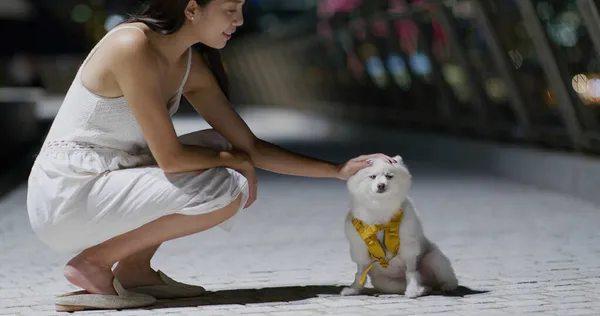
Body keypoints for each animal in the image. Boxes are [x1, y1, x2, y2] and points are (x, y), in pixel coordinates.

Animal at [340, 156, 458, 298]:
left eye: (389, 176)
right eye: (372, 176)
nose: (381, 185)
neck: (380, 207)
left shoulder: (408, 246)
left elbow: (411, 272)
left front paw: (413, 290)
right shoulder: (360, 248)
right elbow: (360, 273)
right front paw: (354, 289)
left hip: (434, 259)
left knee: (448, 278)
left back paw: (446, 287)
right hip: (385, 283)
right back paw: (424, 288)